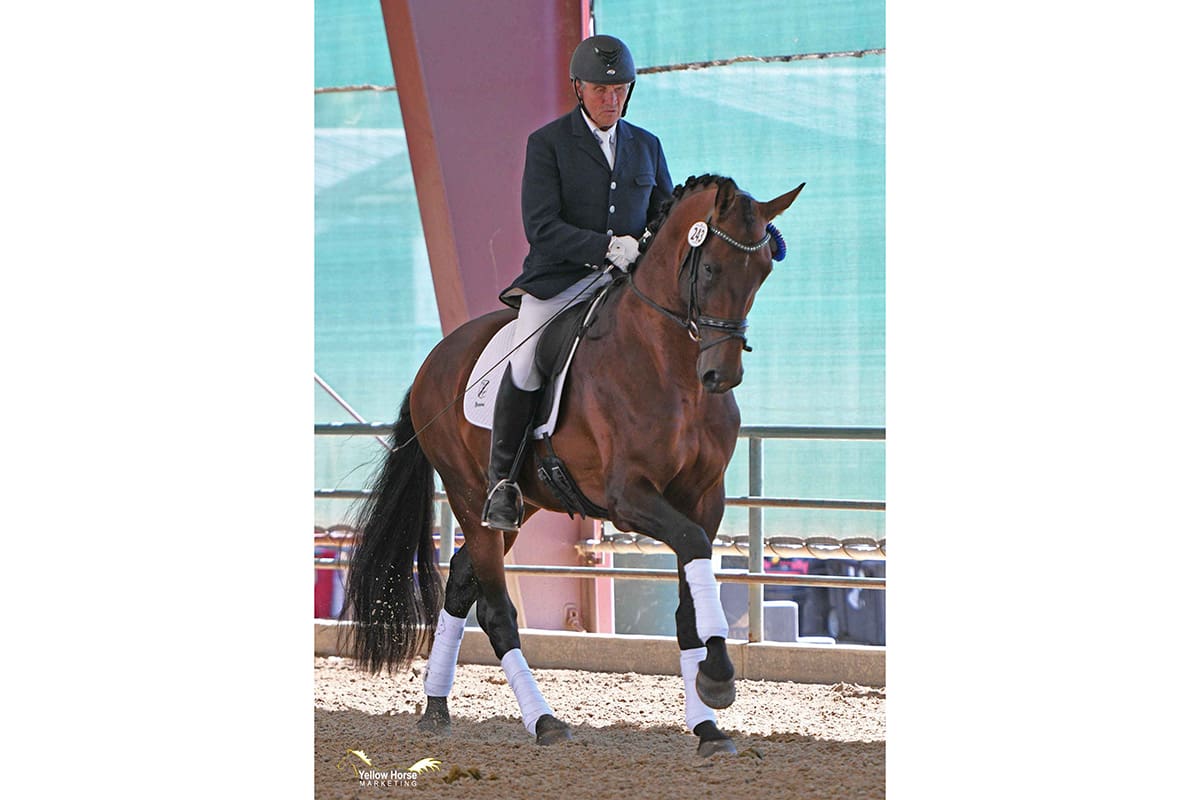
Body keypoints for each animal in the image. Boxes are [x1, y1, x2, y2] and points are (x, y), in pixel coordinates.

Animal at [342, 174, 804, 757]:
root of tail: (435, 360)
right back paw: (543, 721)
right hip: (472, 497)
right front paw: (719, 680)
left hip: (522, 509)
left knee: (463, 583)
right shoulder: (629, 496)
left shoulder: (704, 498)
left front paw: (708, 725)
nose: (722, 375)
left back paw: (436, 708)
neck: (672, 367)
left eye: (763, 270)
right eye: (710, 269)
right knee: (496, 611)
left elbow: (688, 606)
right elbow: (693, 549)